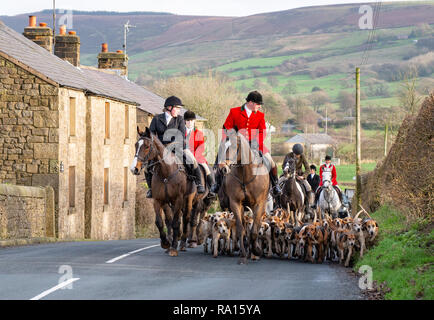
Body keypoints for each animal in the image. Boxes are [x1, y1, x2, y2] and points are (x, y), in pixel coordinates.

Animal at [130, 127, 196, 255]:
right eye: (136, 145)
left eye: (147, 146)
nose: (134, 169)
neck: (166, 171)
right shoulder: (158, 200)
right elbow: (160, 222)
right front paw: (165, 243)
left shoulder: (178, 199)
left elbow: (175, 223)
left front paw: (173, 248)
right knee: (171, 220)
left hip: (187, 200)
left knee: (185, 219)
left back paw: (182, 244)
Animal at [219, 129, 270, 264]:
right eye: (221, 146)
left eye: (233, 146)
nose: (222, 168)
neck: (245, 174)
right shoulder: (235, 204)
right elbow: (241, 229)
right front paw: (243, 254)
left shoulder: (258, 204)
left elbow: (254, 230)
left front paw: (256, 250)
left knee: (257, 225)